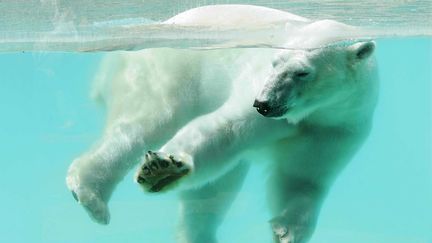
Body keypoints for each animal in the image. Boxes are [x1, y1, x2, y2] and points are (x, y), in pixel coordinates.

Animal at [65, 4, 378, 243]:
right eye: (275, 62)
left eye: (302, 72)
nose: (262, 104)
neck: (315, 110)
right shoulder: (258, 91)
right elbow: (225, 131)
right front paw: (163, 168)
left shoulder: (337, 124)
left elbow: (302, 175)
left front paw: (288, 230)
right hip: (165, 71)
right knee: (145, 123)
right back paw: (92, 193)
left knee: (214, 190)